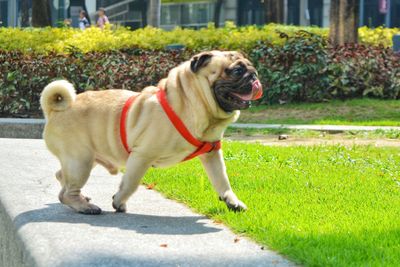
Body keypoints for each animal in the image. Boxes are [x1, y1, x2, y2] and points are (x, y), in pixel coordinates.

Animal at [39, 51, 262, 217]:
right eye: (236, 70)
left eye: (250, 67)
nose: (254, 75)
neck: (188, 103)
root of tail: (56, 110)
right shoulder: (142, 156)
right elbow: (130, 183)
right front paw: (118, 202)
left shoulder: (212, 154)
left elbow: (222, 180)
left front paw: (232, 201)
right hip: (80, 161)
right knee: (68, 192)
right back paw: (85, 207)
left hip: (86, 158)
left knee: (61, 177)